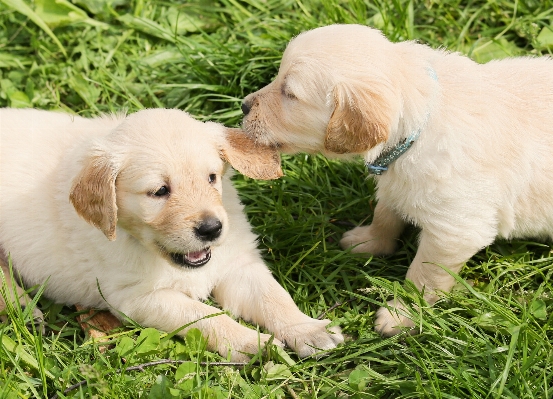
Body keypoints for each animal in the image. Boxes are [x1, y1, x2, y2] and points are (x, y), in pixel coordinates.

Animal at [0, 108, 342, 360]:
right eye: (159, 191)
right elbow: (205, 315)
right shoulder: (138, 297)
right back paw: (22, 308)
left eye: (211, 177)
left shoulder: (238, 263)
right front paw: (250, 342)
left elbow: (274, 298)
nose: (211, 229)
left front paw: (308, 330)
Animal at [240, 24, 552, 338]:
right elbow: (384, 215)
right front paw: (369, 242)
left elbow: (423, 277)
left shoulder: (455, 231)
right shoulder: (395, 183)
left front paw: (402, 315)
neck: (418, 126)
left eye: (289, 94)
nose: (242, 105)